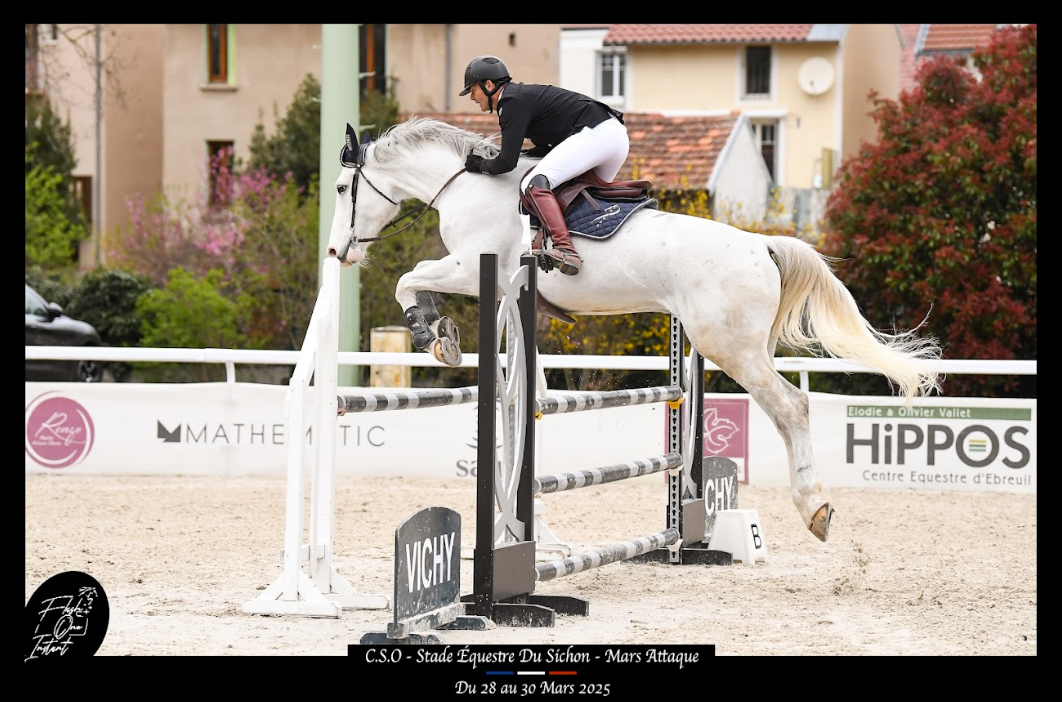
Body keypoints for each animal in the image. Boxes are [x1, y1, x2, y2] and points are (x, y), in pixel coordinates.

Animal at [325, 117, 943, 543]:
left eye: (339, 189)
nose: (336, 253)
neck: (465, 186)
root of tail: (761, 244)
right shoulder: (503, 292)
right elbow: (527, 377)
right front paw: (449, 340)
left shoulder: (471, 268)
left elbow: (409, 278)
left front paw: (434, 334)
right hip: (747, 347)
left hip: (730, 349)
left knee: (792, 406)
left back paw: (814, 508)